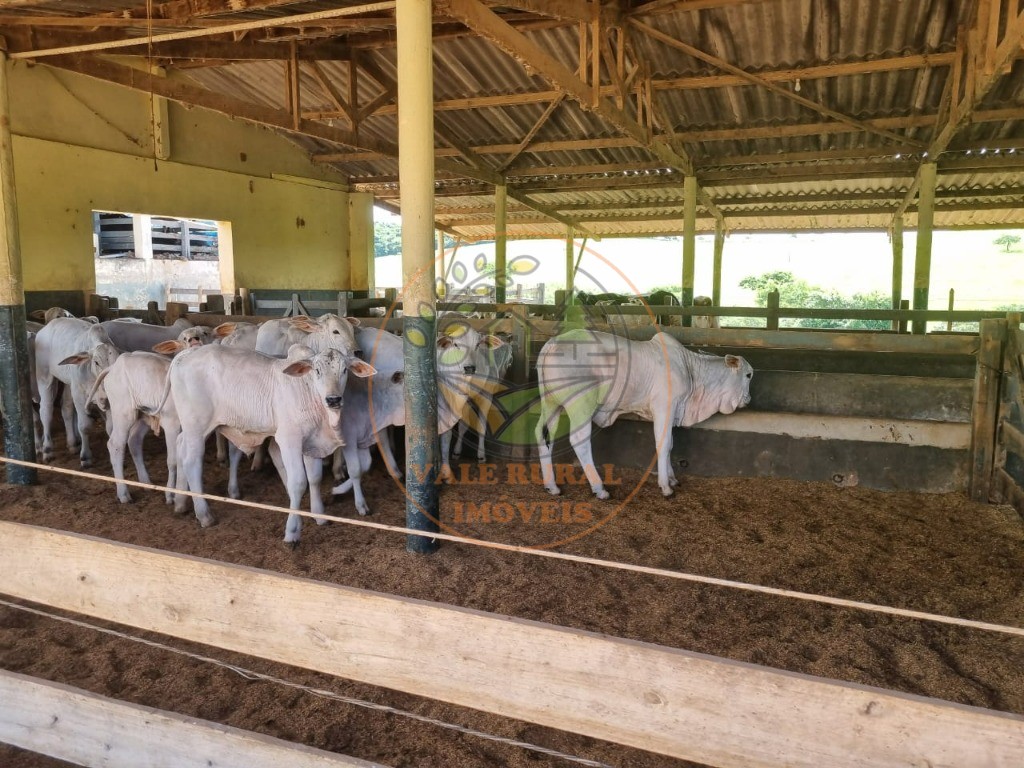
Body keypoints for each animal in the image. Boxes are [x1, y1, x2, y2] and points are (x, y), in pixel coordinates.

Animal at [33, 317, 119, 466]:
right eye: (96, 362)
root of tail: (48, 326)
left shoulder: (107, 400)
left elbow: (110, 427)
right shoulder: (79, 394)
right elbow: (84, 426)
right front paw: (85, 457)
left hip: (68, 384)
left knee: (66, 409)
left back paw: (72, 444)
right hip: (45, 377)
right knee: (45, 411)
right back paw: (47, 449)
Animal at [87, 352, 178, 507]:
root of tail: (113, 367)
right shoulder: (172, 425)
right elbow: (173, 462)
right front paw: (171, 495)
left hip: (143, 416)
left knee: (134, 441)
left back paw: (146, 483)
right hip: (124, 415)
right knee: (115, 445)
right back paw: (123, 493)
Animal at [153, 342, 374, 548]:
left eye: (344, 370)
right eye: (317, 370)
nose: (333, 399)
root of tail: (185, 353)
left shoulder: (312, 441)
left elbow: (315, 478)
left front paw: (319, 515)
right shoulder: (289, 440)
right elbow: (298, 483)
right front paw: (292, 532)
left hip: (192, 429)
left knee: (180, 446)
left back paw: (181, 502)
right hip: (197, 426)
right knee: (192, 461)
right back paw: (204, 514)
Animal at [536, 329, 753, 499]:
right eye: (749, 374)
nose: (749, 399)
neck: (690, 370)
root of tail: (551, 344)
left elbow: (670, 444)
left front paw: (672, 479)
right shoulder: (664, 407)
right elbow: (663, 444)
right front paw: (665, 486)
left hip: (551, 403)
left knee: (543, 435)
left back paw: (551, 486)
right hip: (580, 404)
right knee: (579, 440)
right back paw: (599, 489)